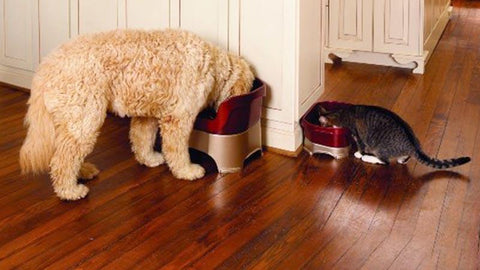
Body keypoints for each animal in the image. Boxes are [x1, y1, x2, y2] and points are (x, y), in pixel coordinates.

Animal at [19, 29, 255, 200]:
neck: (212, 64)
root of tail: (47, 64)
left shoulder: (147, 115)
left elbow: (143, 139)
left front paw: (149, 159)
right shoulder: (178, 118)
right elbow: (177, 149)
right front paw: (187, 171)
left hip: (70, 118)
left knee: (62, 152)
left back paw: (83, 171)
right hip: (85, 117)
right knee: (62, 159)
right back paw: (70, 191)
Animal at [316, 104, 470, 168]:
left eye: (322, 125)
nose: (319, 126)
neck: (341, 113)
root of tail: (413, 146)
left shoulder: (358, 134)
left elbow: (361, 146)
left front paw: (360, 154)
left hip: (380, 148)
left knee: (386, 162)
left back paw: (368, 158)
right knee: (404, 159)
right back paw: (402, 159)